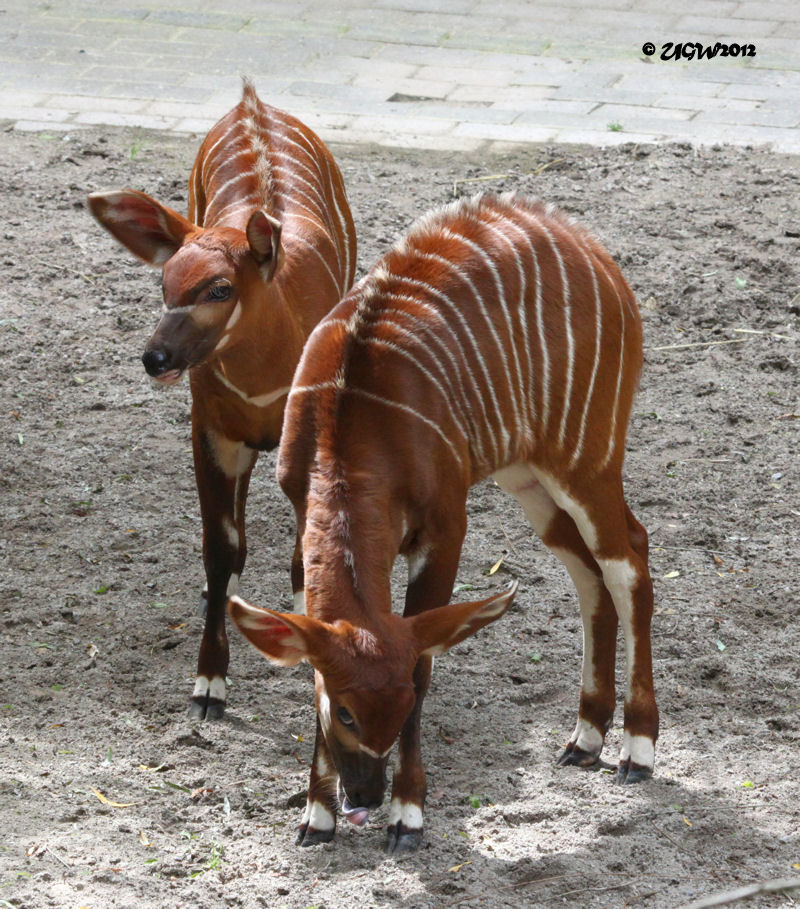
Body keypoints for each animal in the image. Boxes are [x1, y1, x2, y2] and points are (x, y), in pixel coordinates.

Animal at [89, 80, 358, 716]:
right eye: (165, 284)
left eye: (219, 288)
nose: (157, 358)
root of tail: (249, 102)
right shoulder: (210, 430)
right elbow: (218, 542)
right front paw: (209, 683)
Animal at [228, 192, 660, 852]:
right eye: (344, 709)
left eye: (403, 704)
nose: (364, 798)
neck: (352, 415)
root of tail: (593, 251)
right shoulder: (303, 520)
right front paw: (316, 817)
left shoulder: (445, 529)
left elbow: (426, 657)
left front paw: (407, 816)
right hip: (529, 475)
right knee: (586, 570)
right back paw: (586, 736)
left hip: (587, 457)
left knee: (627, 557)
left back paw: (637, 749)